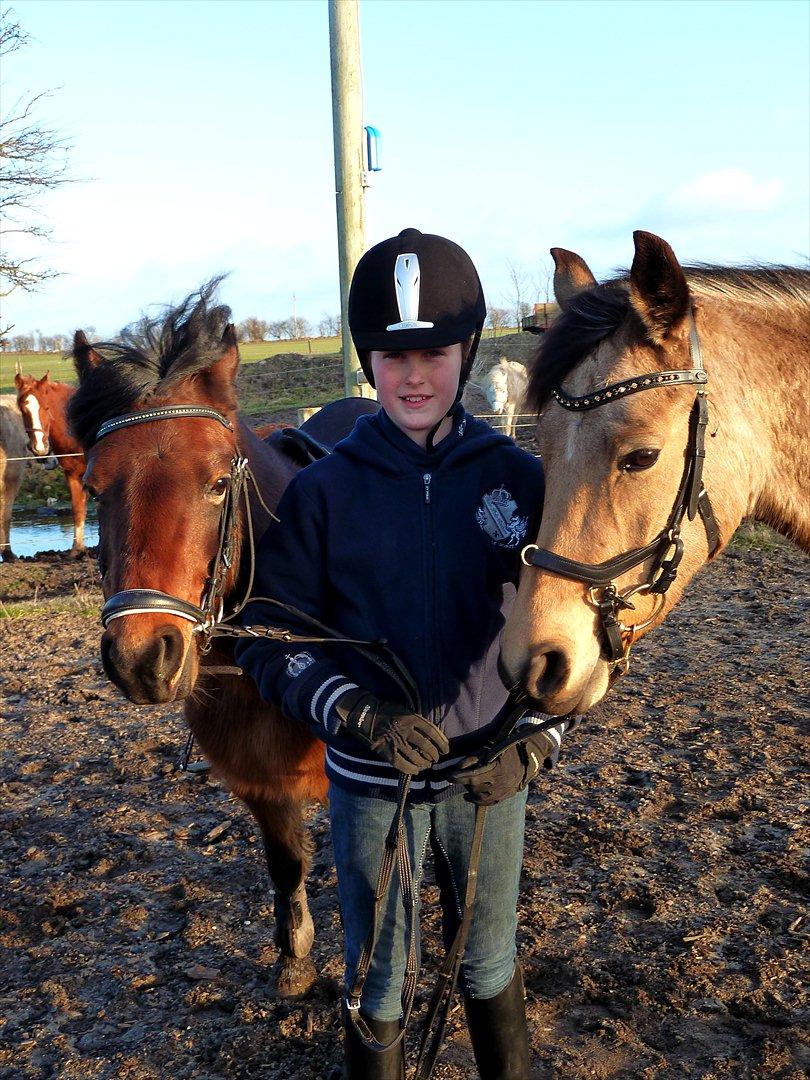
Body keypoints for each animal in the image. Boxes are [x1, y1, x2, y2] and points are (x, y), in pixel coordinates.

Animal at [15, 371, 88, 557]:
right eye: (23, 410)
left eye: (46, 407)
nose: (39, 447)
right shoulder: (72, 475)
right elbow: (78, 509)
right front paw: (77, 550)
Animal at [67, 284, 374, 998]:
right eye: (93, 488)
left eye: (215, 484)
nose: (141, 659)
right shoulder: (260, 781)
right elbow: (287, 864)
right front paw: (294, 958)